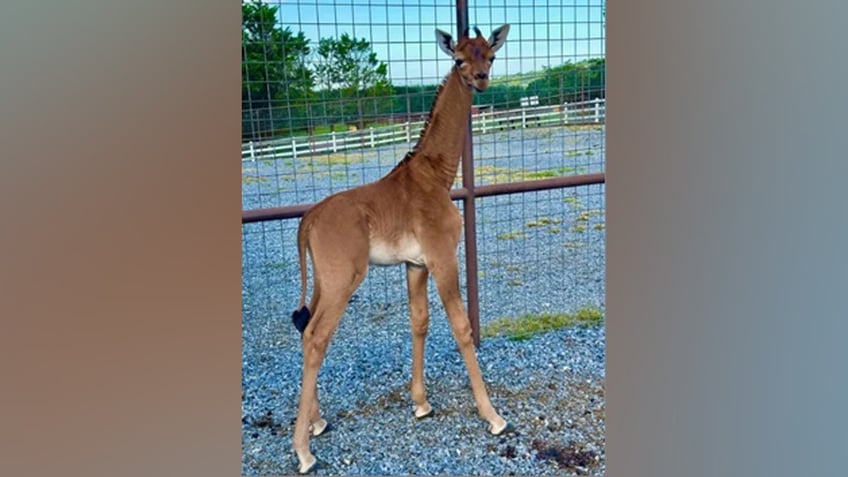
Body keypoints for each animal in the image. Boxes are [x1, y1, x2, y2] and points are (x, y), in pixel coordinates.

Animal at [288, 23, 512, 472]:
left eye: (491, 55)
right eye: (459, 59)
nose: (481, 79)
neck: (437, 176)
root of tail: (308, 221)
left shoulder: (415, 264)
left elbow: (419, 322)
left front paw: (421, 403)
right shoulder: (443, 257)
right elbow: (461, 327)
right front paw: (493, 416)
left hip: (323, 280)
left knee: (305, 329)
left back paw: (317, 422)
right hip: (343, 279)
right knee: (317, 337)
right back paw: (303, 451)